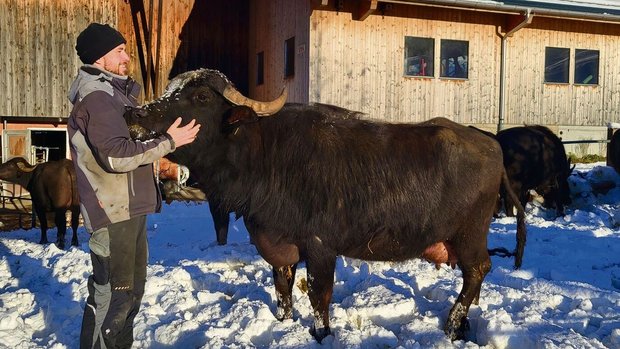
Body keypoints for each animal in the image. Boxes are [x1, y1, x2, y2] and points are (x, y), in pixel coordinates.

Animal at [127, 69, 528, 342]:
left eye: (201, 97)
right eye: (170, 91)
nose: (137, 116)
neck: (265, 157)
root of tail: (491, 144)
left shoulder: (320, 248)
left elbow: (319, 297)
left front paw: (322, 334)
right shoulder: (279, 246)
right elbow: (283, 291)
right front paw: (285, 323)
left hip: (470, 235)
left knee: (478, 270)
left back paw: (452, 324)